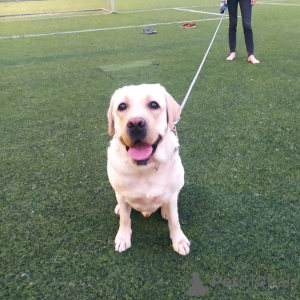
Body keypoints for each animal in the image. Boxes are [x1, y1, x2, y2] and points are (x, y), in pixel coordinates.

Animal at [106, 83, 189, 254]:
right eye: (122, 106)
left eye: (154, 104)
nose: (135, 123)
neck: (146, 169)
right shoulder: (122, 195)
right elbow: (125, 219)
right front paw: (123, 237)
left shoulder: (172, 196)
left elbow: (175, 221)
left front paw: (179, 240)